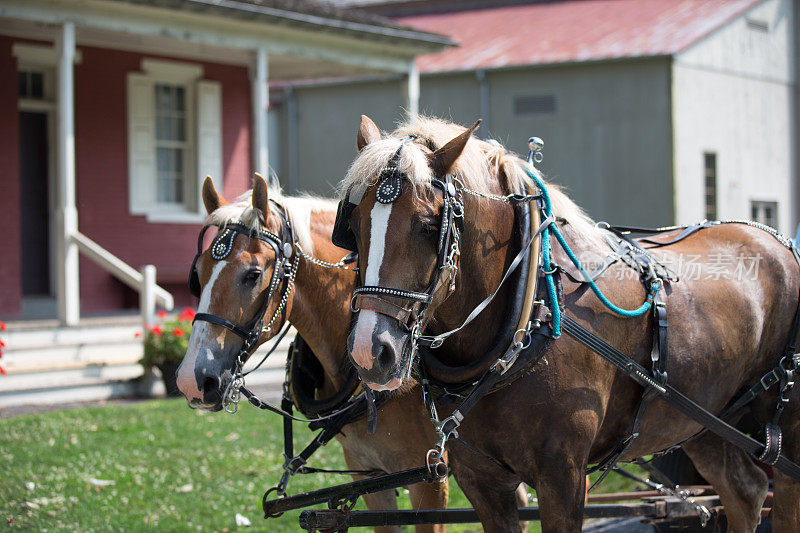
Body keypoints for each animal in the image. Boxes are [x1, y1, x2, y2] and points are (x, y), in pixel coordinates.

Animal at [338, 114, 800, 528]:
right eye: (354, 227)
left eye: (428, 225)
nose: (369, 352)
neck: (530, 312)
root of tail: (777, 240)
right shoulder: (482, 481)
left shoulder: (563, 476)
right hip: (701, 417)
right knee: (745, 490)